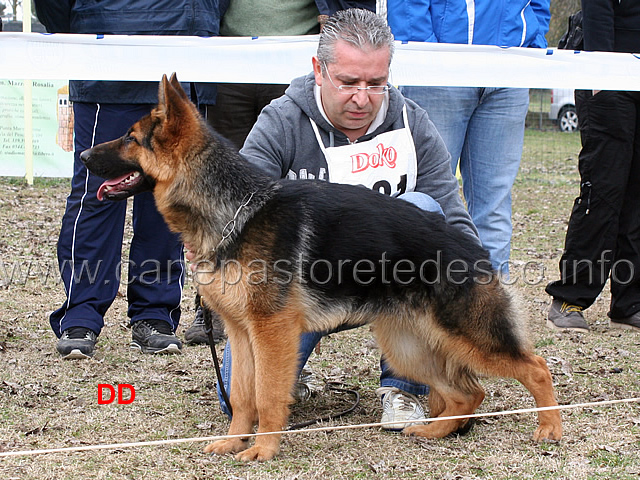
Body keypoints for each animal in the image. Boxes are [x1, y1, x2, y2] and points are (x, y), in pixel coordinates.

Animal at [82, 74, 564, 462]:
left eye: (130, 138)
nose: (83, 156)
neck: (234, 211)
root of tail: (474, 247)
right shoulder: (240, 333)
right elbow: (242, 395)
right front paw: (236, 441)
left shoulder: (271, 333)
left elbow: (268, 395)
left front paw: (263, 450)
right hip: (408, 347)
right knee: (468, 392)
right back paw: (435, 430)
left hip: (468, 337)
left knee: (535, 367)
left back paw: (550, 428)